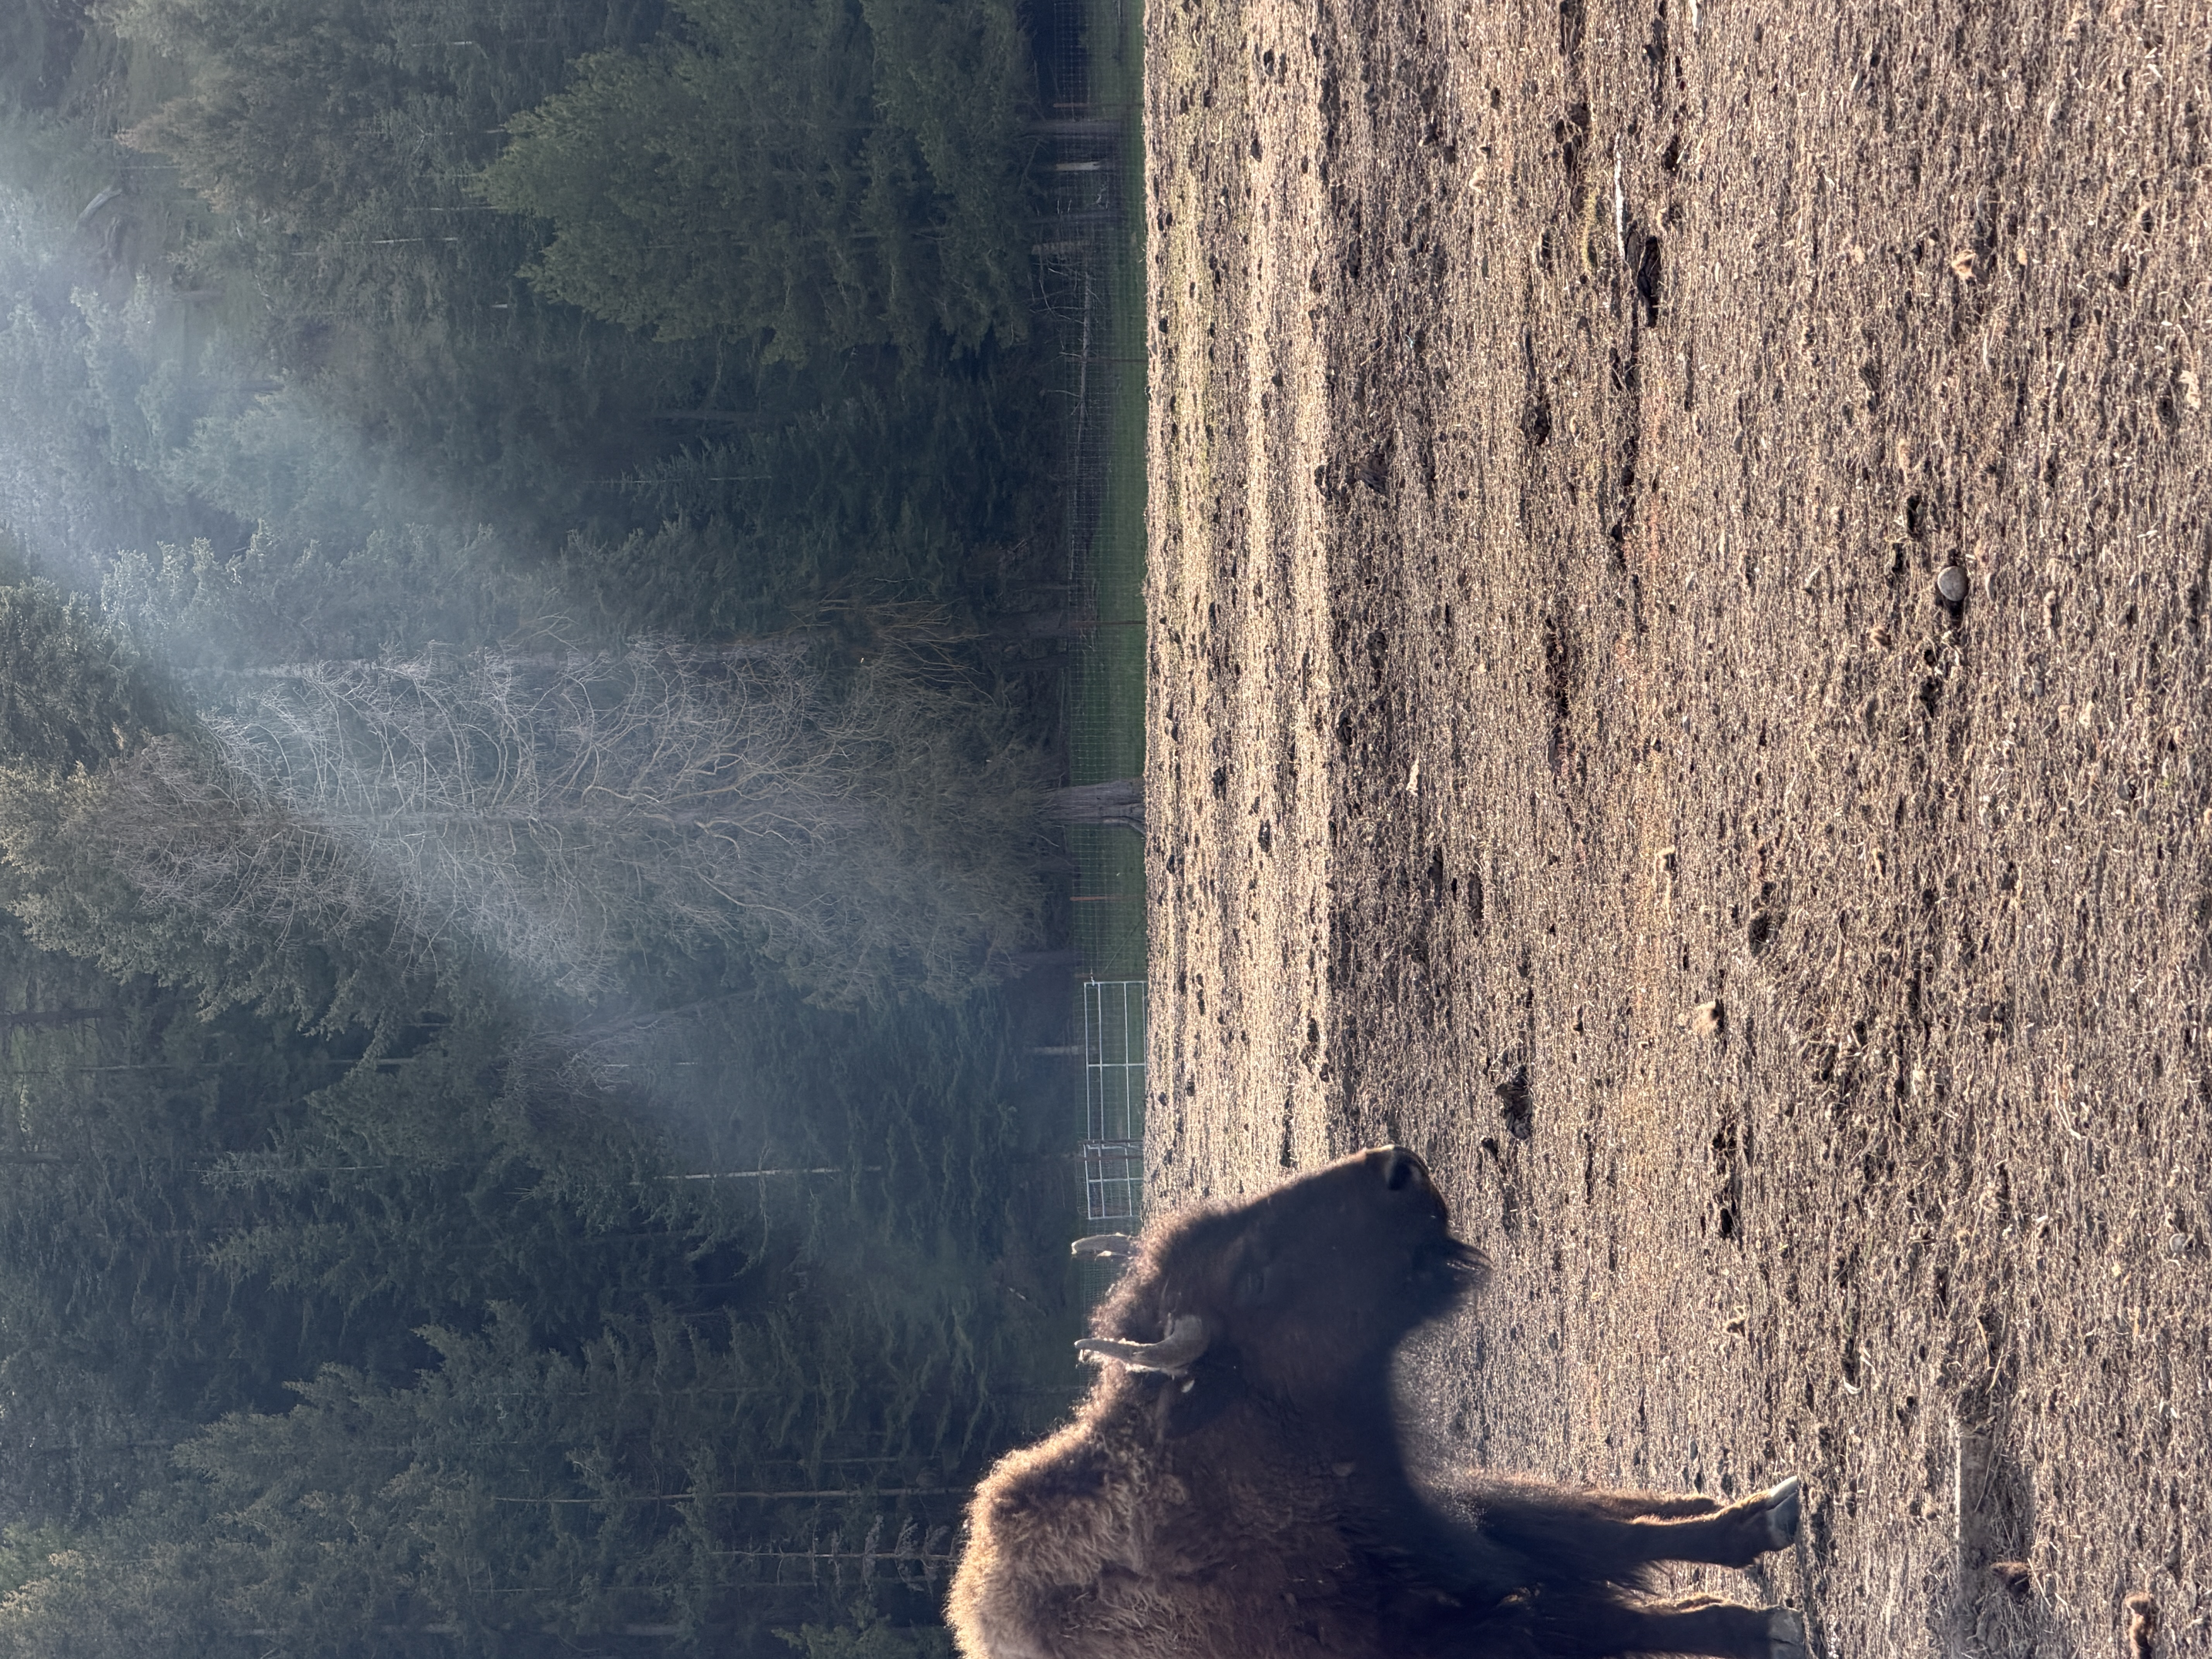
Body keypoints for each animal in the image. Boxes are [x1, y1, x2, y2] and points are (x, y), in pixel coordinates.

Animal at [950, 1146, 1807, 1659]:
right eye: (1253, 1275)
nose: (1399, 1167)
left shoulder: (1461, 1523)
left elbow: (1609, 1537)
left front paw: (1766, 1518)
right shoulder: (1471, 1621)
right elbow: (1615, 1608)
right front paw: (1772, 1627)